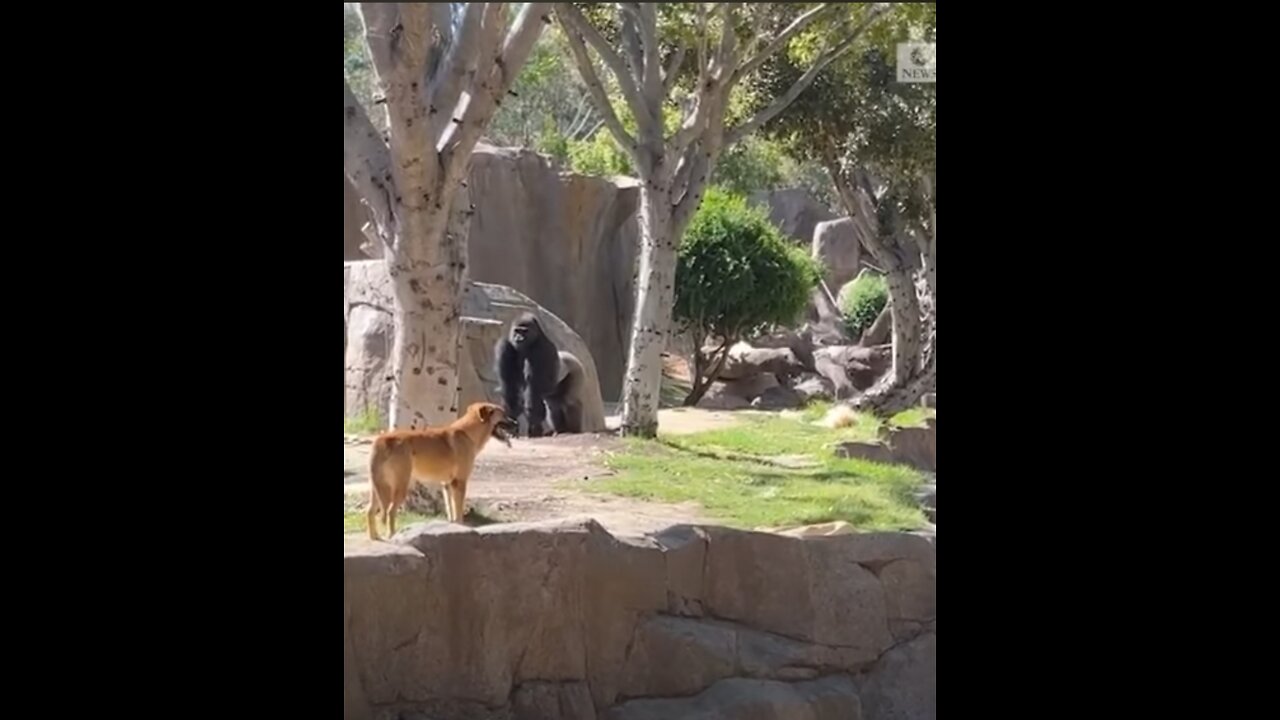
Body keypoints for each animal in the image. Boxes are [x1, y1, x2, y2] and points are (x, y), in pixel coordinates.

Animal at [366, 399, 514, 535]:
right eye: (504, 414)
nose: (516, 424)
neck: (468, 433)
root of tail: (381, 440)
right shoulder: (460, 482)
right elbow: (458, 512)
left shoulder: (447, 484)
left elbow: (451, 511)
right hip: (400, 486)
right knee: (390, 511)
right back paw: (392, 535)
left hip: (377, 488)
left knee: (370, 511)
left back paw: (376, 538)